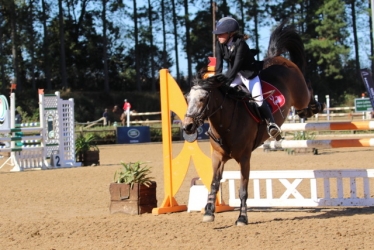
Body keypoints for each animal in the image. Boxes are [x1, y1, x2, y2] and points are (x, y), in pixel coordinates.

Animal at [183, 20, 322, 226]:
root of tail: (277, 57)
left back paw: (316, 105)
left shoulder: (244, 158)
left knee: (308, 91)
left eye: (203, 99)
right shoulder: (217, 157)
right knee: (303, 107)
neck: (226, 124)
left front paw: (242, 217)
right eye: (187, 98)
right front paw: (208, 211)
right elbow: (214, 183)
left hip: (300, 94)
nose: (188, 126)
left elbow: (243, 189)